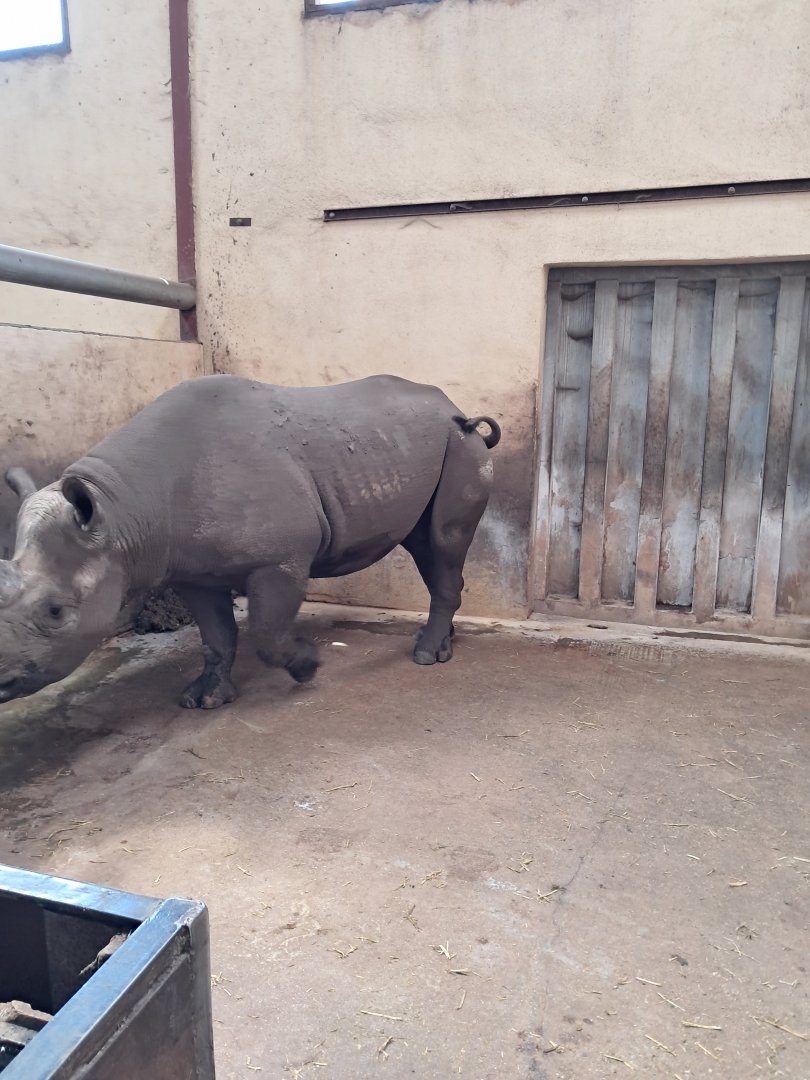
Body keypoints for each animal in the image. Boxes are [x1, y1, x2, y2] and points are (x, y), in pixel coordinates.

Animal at [0, 374, 500, 710]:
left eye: (56, 612)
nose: (2, 682)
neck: (123, 509)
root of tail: (457, 408)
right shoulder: (192, 570)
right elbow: (217, 636)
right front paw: (204, 700)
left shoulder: (280, 559)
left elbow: (265, 631)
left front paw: (308, 664)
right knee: (426, 547)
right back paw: (441, 642)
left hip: (461, 445)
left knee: (443, 542)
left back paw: (427, 656)